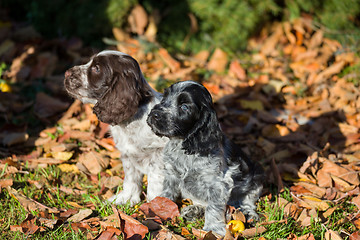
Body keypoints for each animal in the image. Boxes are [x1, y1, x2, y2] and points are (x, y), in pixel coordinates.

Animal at [64, 49, 168, 205]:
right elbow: (131, 179)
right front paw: (125, 199)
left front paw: (155, 206)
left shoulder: (159, 156)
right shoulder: (128, 155)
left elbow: (155, 184)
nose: (66, 73)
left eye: (97, 68)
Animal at [146, 81, 262, 235]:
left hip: (256, 176)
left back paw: (248, 213)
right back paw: (193, 211)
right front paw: (160, 207)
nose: (155, 114)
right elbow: (167, 193)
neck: (184, 147)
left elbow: (213, 207)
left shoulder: (218, 184)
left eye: (184, 106)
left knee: (247, 200)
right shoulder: (171, 174)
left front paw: (213, 229)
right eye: (165, 98)